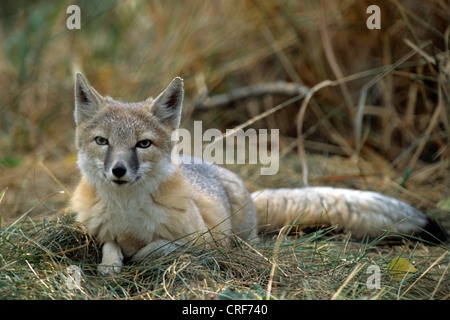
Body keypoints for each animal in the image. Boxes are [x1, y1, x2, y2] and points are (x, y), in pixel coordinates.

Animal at [70, 72, 446, 276]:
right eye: (102, 141)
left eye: (143, 144)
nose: (118, 170)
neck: (128, 213)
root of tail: (249, 193)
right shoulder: (98, 229)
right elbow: (110, 246)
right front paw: (111, 264)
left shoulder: (204, 241)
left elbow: (159, 248)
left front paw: (136, 256)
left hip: (240, 236)